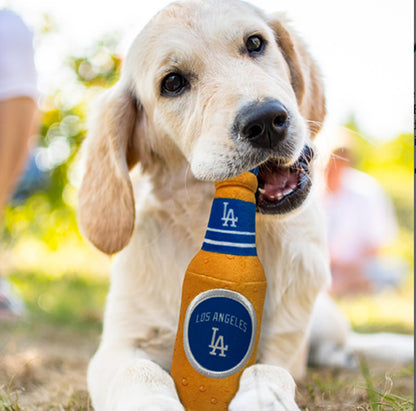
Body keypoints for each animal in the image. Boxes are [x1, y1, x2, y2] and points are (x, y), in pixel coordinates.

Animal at [79, 0, 330, 408]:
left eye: (255, 43)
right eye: (173, 83)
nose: (266, 120)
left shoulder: (284, 346)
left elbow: (267, 370)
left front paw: (263, 399)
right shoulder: (118, 345)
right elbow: (140, 371)